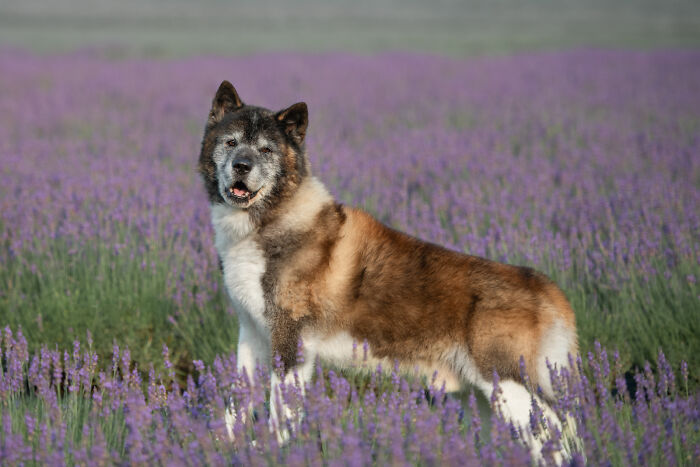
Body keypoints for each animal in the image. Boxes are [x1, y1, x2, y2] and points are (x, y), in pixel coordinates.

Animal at [197, 80, 580, 458]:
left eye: (266, 150)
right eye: (231, 142)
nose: (242, 166)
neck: (274, 218)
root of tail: (543, 286)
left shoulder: (291, 346)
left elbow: (280, 416)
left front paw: (272, 452)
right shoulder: (253, 337)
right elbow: (236, 404)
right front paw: (224, 447)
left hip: (509, 388)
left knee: (555, 437)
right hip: (487, 399)